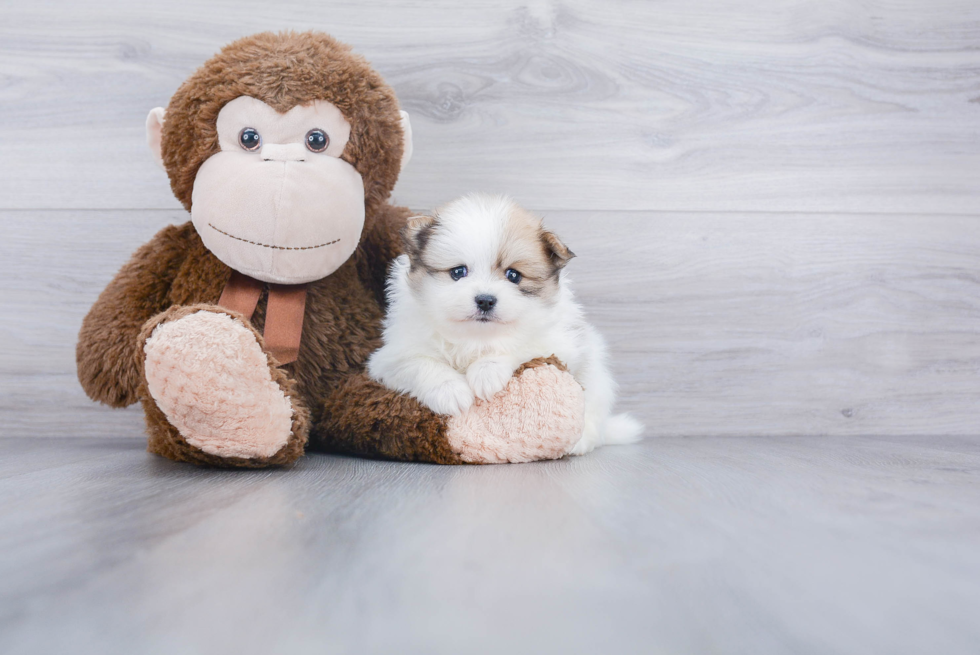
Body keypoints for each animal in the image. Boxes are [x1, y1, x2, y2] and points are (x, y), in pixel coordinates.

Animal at [368, 192, 644, 454]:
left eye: (513, 275)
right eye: (458, 272)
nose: (485, 300)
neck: (474, 337)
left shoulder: (559, 342)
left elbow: (519, 346)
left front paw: (486, 372)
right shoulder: (391, 356)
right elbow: (421, 364)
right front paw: (451, 391)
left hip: (596, 380)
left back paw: (581, 442)